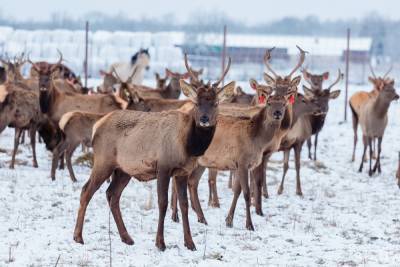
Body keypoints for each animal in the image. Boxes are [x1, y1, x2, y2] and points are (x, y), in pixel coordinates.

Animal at [73, 54, 234, 251]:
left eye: (216, 103)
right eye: (196, 103)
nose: (204, 119)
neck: (188, 145)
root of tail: (97, 125)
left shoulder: (182, 172)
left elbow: (184, 204)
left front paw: (190, 243)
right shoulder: (163, 167)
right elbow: (162, 203)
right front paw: (160, 242)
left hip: (124, 169)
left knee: (112, 194)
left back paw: (127, 237)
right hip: (103, 161)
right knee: (86, 190)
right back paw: (78, 236)